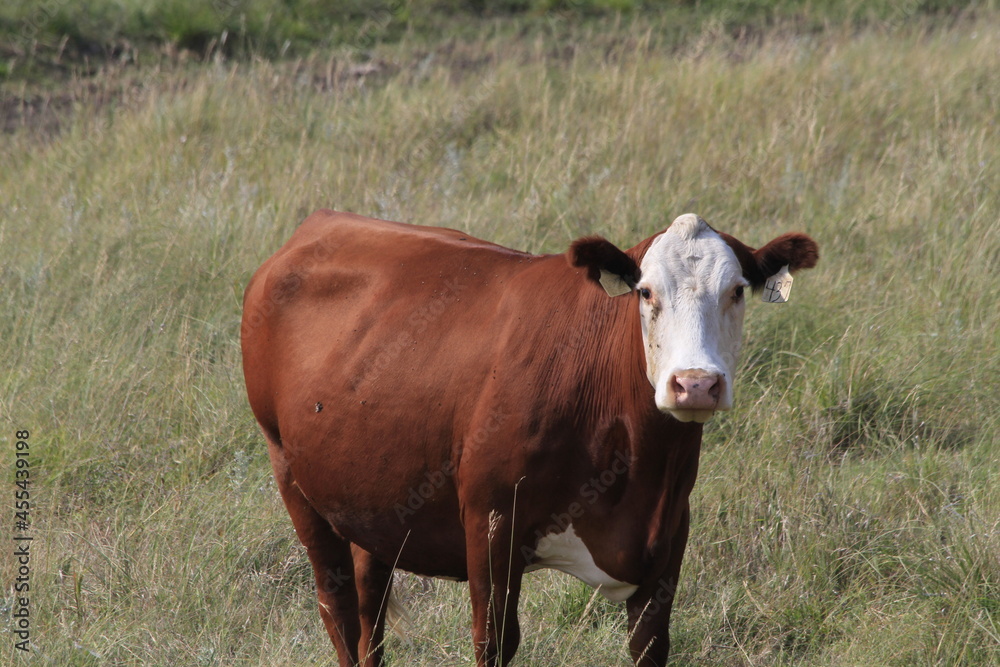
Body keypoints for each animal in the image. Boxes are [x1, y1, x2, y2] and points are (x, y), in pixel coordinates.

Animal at [242, 210, 820, 667]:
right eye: (646, 292)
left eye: (737, 291)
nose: (695, 383)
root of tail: (324, 221)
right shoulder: (491, 521)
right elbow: (494, 642)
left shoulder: (669, 537)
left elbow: (649, 646)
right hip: (291, 474)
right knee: (338, 610)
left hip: (372, 500)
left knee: (370, 607)